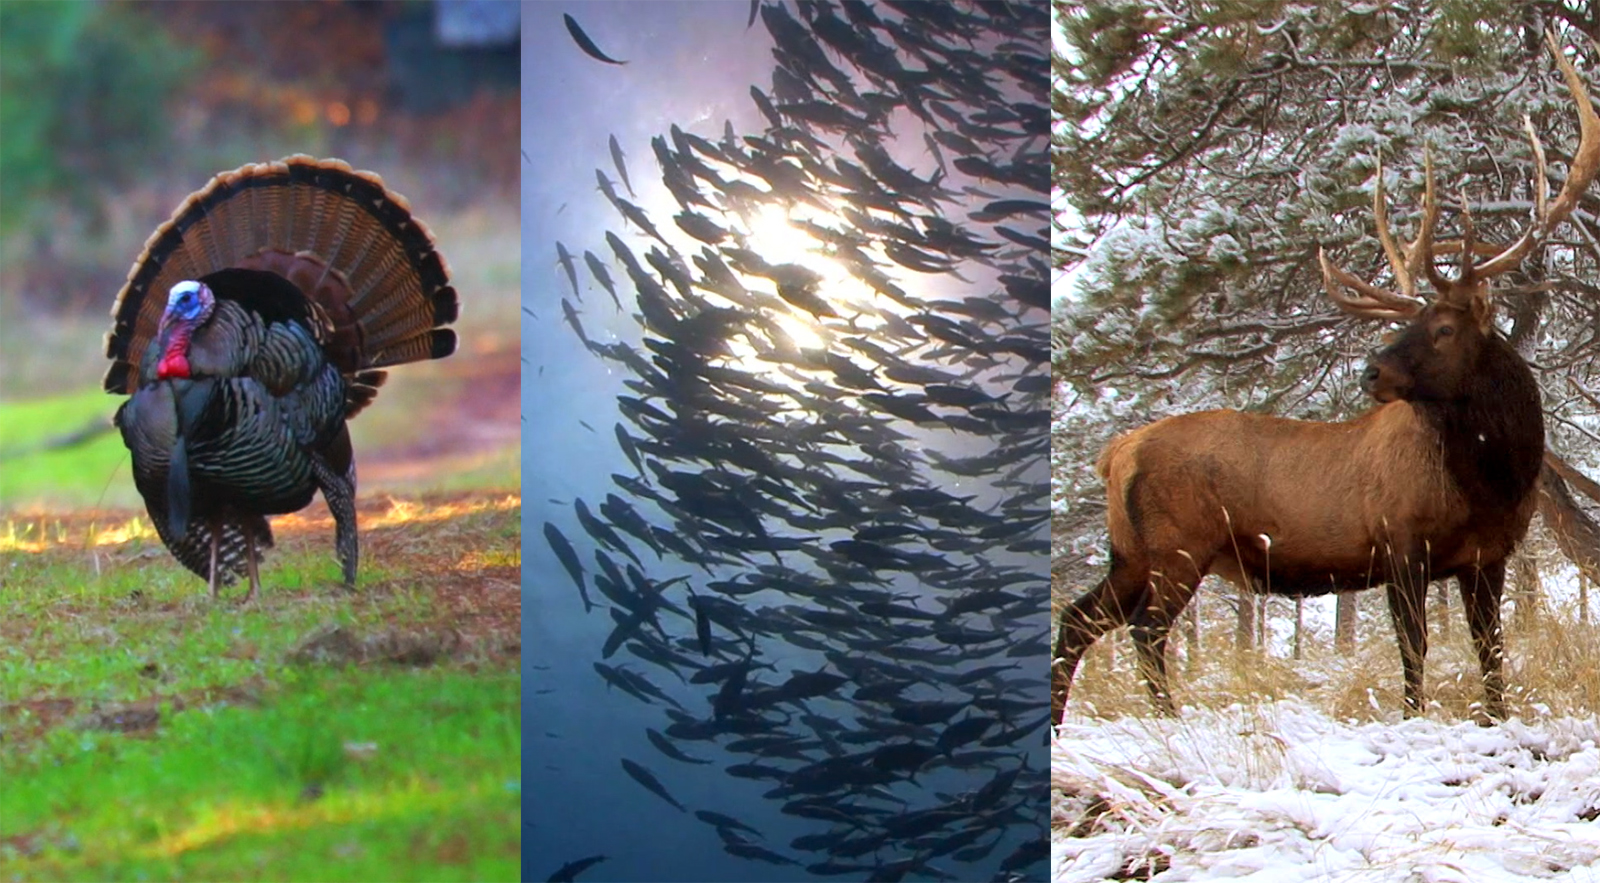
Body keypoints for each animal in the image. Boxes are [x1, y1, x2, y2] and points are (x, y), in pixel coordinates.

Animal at [1049, 32, 1600, 723]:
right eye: (1417, 321)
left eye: (1444, 328)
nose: (1370, 369)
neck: (1492, 480)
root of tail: (1115, 453)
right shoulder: (1400, 543)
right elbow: (1414, 646)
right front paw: (1413, 716)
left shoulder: (1489, 556)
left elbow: (1490, 648)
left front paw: (1496, 716)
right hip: (1178, 544)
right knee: (1146, 629)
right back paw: (1167, 719)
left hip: (1130, 550)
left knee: (1079, 619)